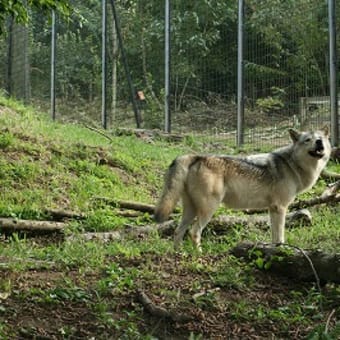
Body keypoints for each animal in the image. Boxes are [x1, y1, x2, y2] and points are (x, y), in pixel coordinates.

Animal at [155, 126, 330, 251]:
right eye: (308, 140)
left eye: (320, 138)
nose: (319, 142)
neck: (292, 165)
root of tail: (195, 156)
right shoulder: (280, 208)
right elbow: (280, 234)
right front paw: (282, 250)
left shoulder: (272, 209)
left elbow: (274, 235)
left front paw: (275, 250)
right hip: (208, 210)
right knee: (194, 232)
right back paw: (199, 254)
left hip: (191, 210)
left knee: (178, 231)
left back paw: (179, 254)